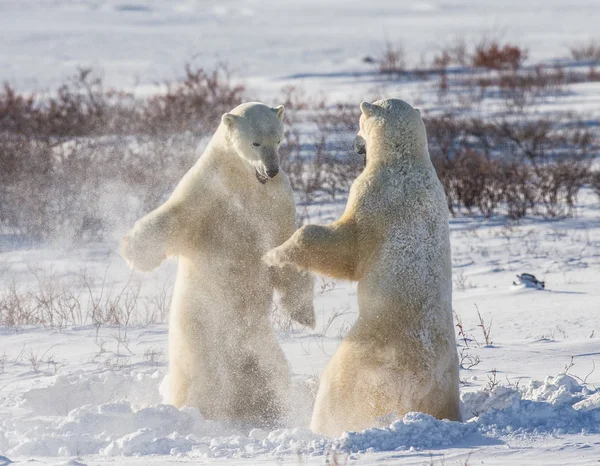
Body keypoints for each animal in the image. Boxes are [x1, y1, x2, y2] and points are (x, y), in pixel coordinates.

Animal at [123, 103, 318, 430]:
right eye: (255, 142)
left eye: (278, 140)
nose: (272, 170)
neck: (244, 181)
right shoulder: (206, 191)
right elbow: (175, 216)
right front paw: (133, 249)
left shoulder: (277, 203)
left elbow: (285, 245)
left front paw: (305, 315)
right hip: (200, 331)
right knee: (207, 376)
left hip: (258, 342)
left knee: (273, 370)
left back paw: (269, 409)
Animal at [264, 98, 462, 436]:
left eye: (358, 122)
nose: (356, 144)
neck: (404, 161)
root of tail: (419, 377)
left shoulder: (373, 196)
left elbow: (345, 250)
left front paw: (273, 254)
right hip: (446, 379)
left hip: (365, 355)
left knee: (338, 390)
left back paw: (321, 425)